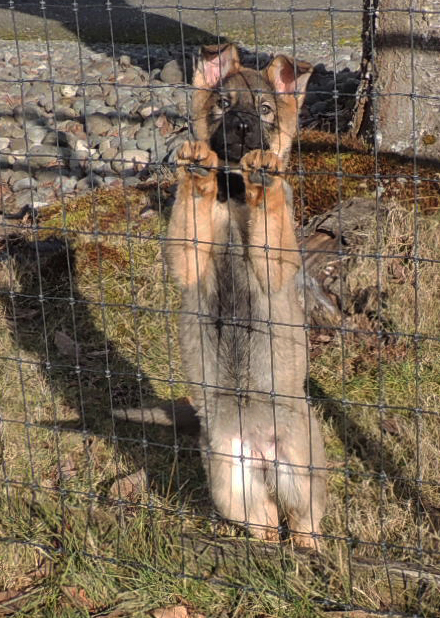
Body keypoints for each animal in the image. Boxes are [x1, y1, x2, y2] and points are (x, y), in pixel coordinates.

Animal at [166, 43, 326, 544]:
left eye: (265, 110)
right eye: (223, 104)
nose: (240, 127)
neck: (235, 192)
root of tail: (258, 449)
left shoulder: (275, 265)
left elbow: (270, 207)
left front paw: (267, 174)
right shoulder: (187, 258)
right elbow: (192, 202)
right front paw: (197, 167)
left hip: (302, 471)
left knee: (305, 523)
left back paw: (309, 553)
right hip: (228, 482)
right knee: (265, 521)